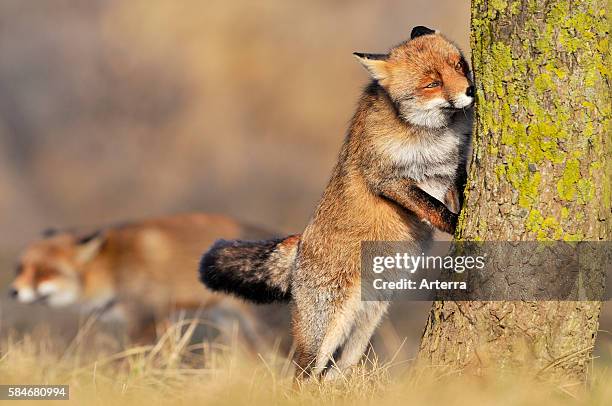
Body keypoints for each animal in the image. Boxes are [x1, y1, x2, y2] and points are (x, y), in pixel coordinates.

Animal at [201, 27, 474, 380]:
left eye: (459, 65)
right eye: (432, 83)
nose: (470, 90)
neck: (432, 136)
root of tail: (300, 243)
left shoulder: (451, 169)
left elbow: (457, 191)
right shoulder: (386, 179)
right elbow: (432, 207)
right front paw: (457, 226)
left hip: (367, 321)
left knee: (335, 371)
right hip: (328, 328)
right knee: (303, 375)